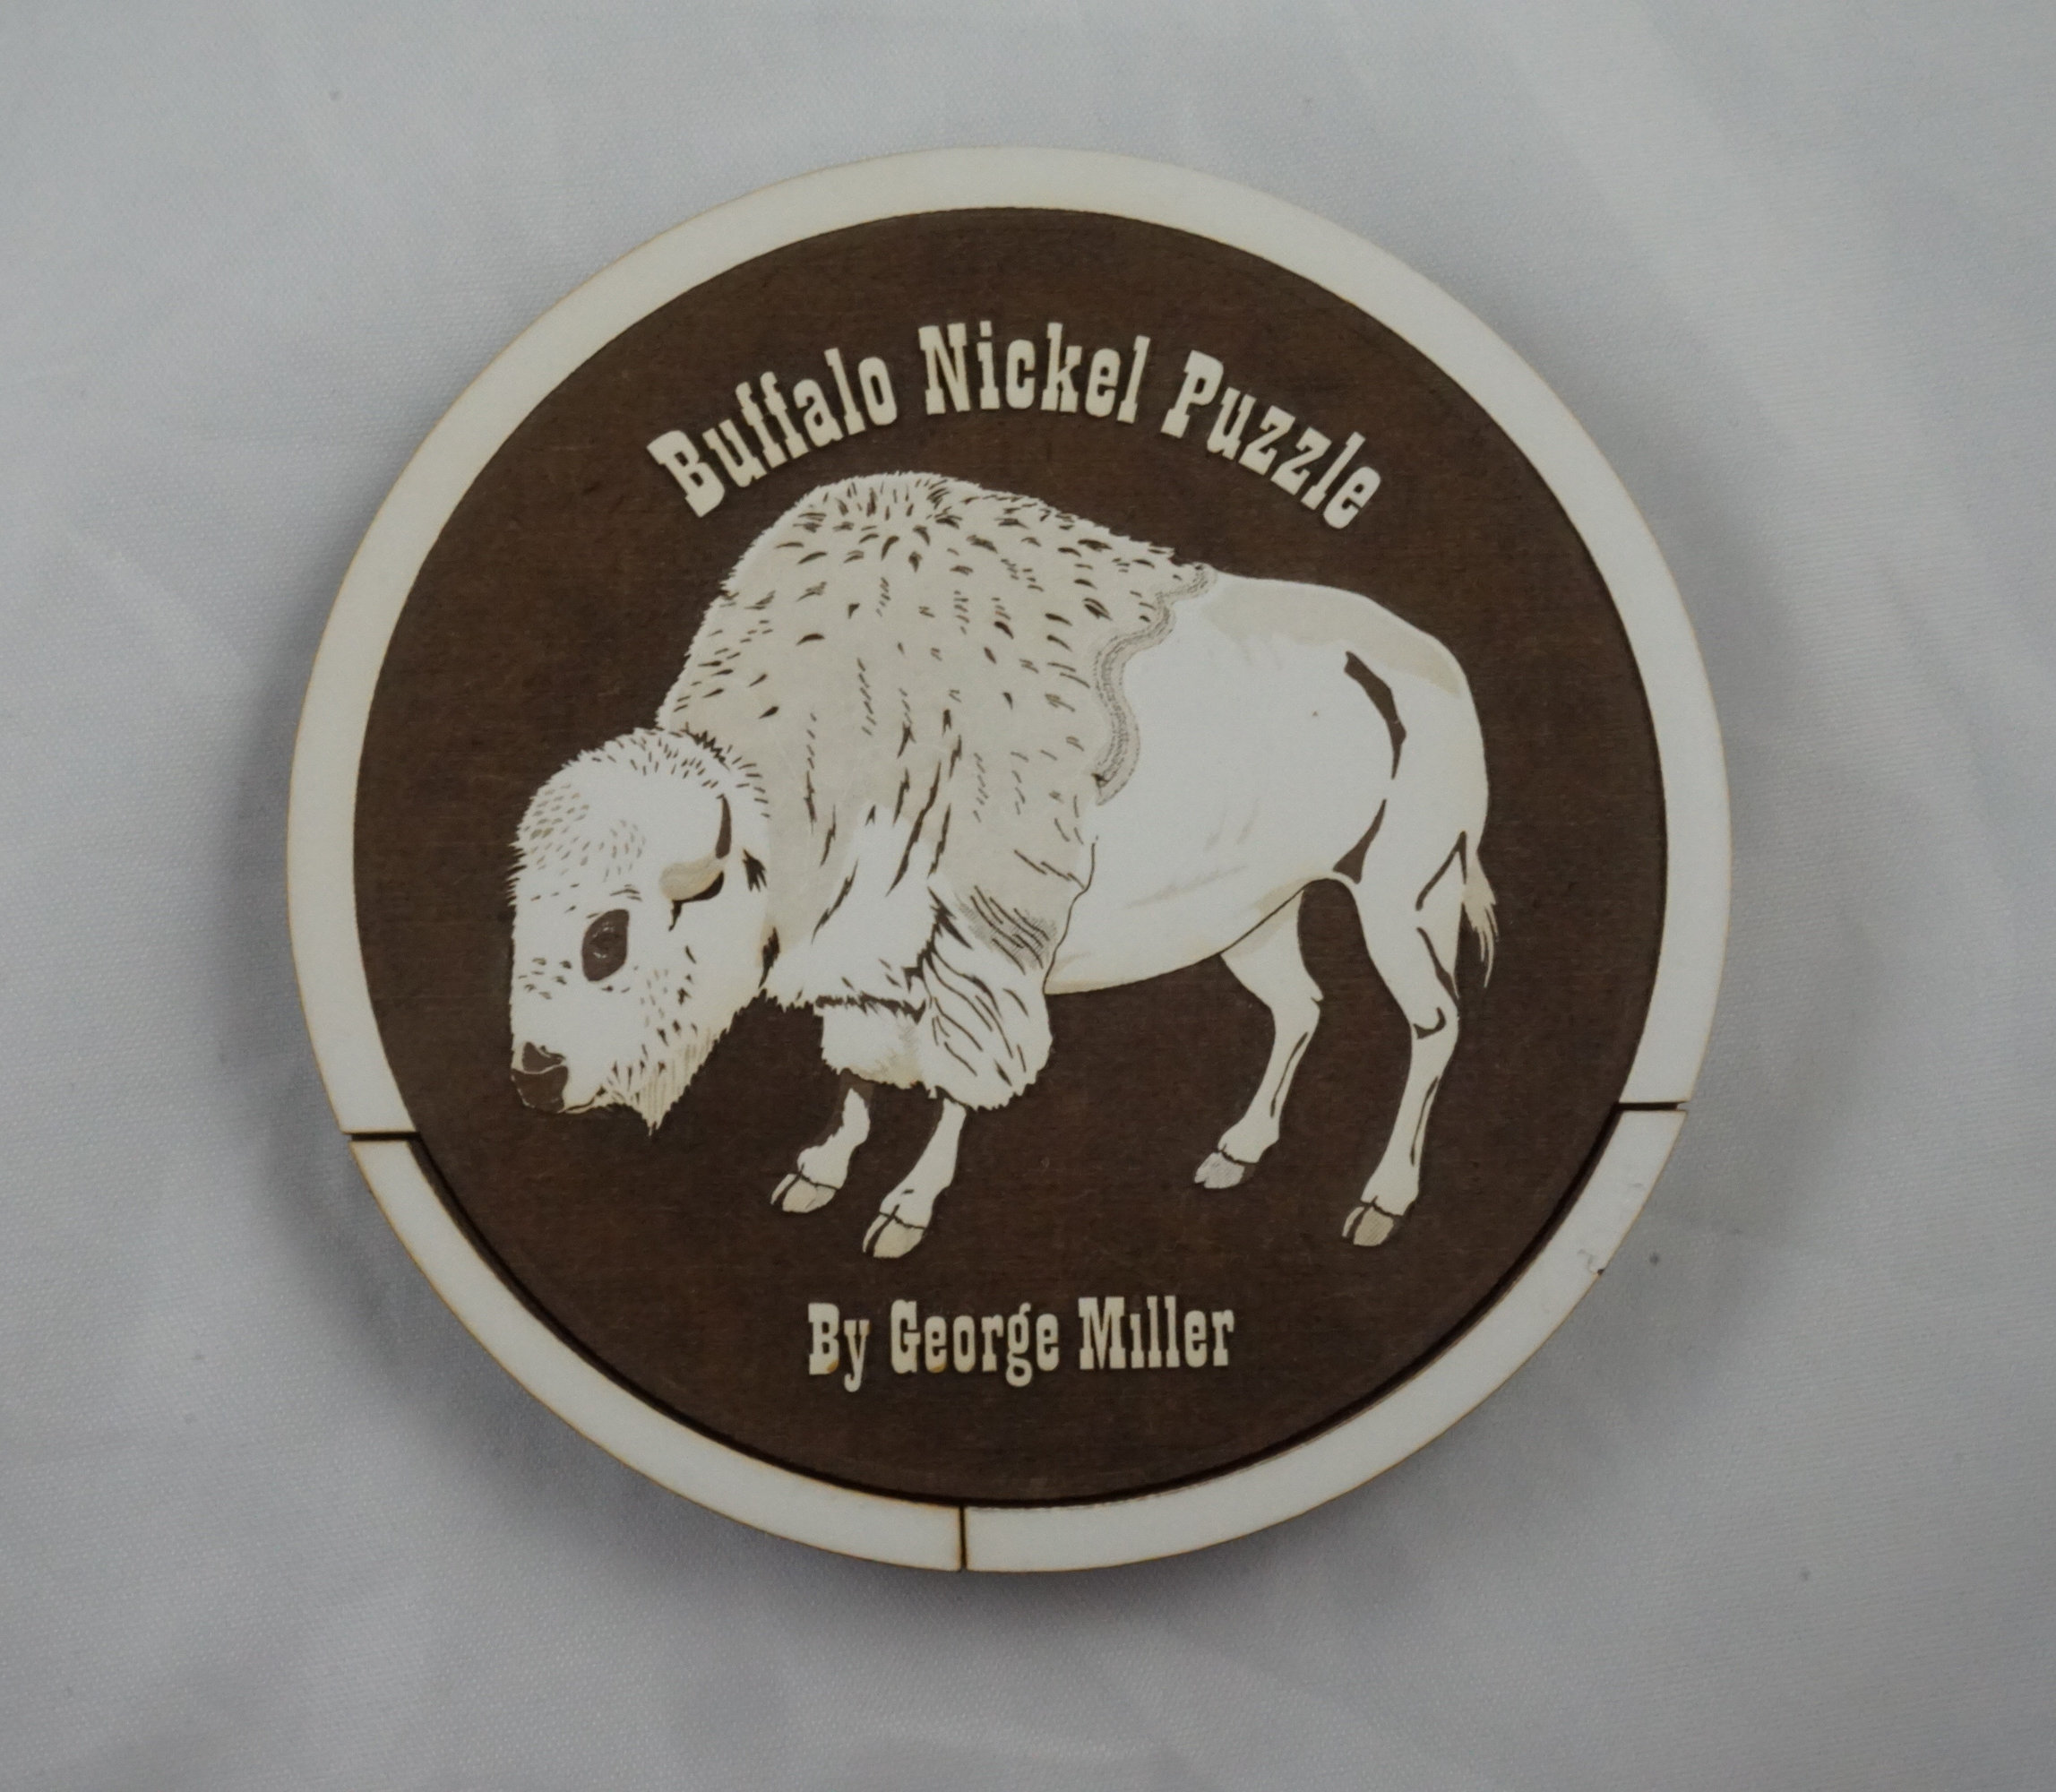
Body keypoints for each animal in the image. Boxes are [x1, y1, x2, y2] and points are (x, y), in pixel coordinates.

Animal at [508, 473, 1493, 1256]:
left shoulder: (976, 950)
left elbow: (956, 1083)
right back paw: (1234, 1152)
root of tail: (1436, 668)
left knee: (1434, 1022)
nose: (533, 1076)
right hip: (1260, 915)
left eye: (606, 937)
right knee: (1300, 1006)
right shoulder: (860, 952)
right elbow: (854, 1067)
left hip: (1400, 899)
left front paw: (904, 1210)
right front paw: (818, 1171)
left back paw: (1381, 1202)